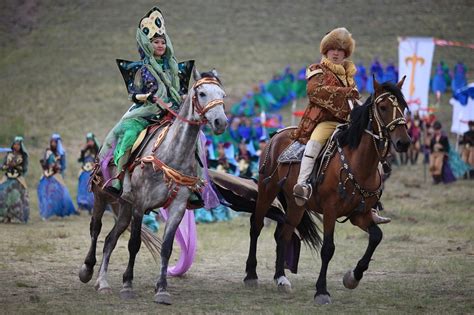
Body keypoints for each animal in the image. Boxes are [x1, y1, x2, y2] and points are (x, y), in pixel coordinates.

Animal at [79, 69, 228, 306]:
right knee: (96, 229)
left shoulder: (177, 207)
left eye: (222, 94)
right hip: (101, 195)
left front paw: (162, 289)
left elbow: (166, 247)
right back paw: (87, 270)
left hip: (124, 206)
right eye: (202, 93)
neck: (171, 154)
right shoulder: (141, 204)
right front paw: (127, 284)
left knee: (110, 239)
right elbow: (134, 244)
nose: (220, 122)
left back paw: (102, 283)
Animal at [244, 76, 412, 304]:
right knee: (257, 225)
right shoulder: (331, 210)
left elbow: (376, 236)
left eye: (402, 106)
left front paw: (353, 277)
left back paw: (281, 278)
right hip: (266, 190)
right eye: (383, 107)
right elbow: (328, 249)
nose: (404, 142)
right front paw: (321, 291)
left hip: (296, 204)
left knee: (283, 234)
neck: (358, 163)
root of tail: (276, 135)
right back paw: (251, 275)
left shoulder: (359, 214)